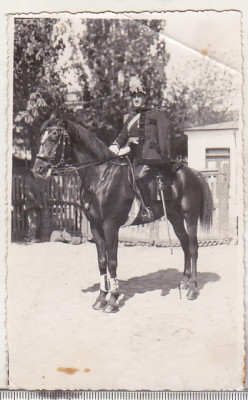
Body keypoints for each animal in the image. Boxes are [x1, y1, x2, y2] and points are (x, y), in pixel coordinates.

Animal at [33, 119, 214, 312]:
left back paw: (193, 288)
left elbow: (112, 262)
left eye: (54, 138)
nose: (38, 168)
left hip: (190, 217)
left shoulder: (110, 226)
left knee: (193, 248)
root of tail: (193, 173)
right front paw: (101, 298)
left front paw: (112, 299)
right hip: (175, 218)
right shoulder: (96, 227)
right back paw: (184, 282)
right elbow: (102, 261)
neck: (100, 178)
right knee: (185, 245)